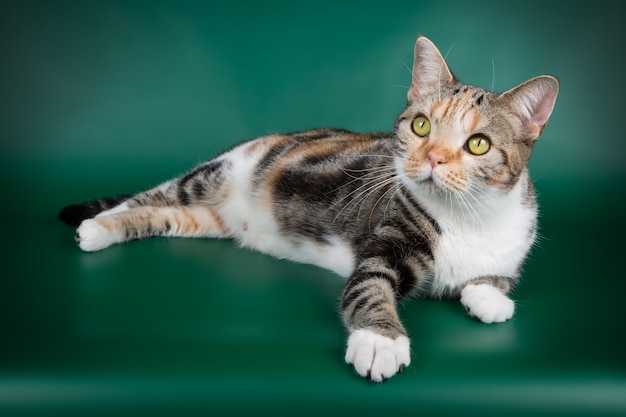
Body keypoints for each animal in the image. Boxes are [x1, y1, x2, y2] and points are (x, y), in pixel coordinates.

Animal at [57, 35, 556, 380]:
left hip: (199, 219)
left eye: (478, 144)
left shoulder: (515, 240)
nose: (432, 158)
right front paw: (380, 341)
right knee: (149, 195)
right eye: (420, 125)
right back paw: (96, 225)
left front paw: (491, 298)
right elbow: (370, 285)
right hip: (214, 175)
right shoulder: (385, 238)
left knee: (161, 214)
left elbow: (492, 279)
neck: (469, 216)